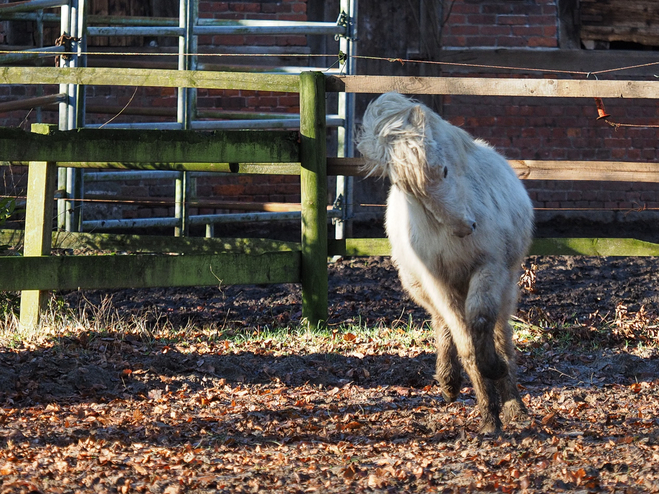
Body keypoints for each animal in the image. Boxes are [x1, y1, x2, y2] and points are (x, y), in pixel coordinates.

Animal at [356, 92, 536, 432]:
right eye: (408, 189)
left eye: (443, 170)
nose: (465, 228)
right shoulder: (436, 281)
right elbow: (465, 343)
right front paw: (488, 417)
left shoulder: (489, 268)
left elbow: (481, 321)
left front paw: (497, 376)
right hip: (421, 287)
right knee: (442, 323)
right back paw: (449, 382)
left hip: (505, 282)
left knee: (500, 332)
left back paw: (514, 405)